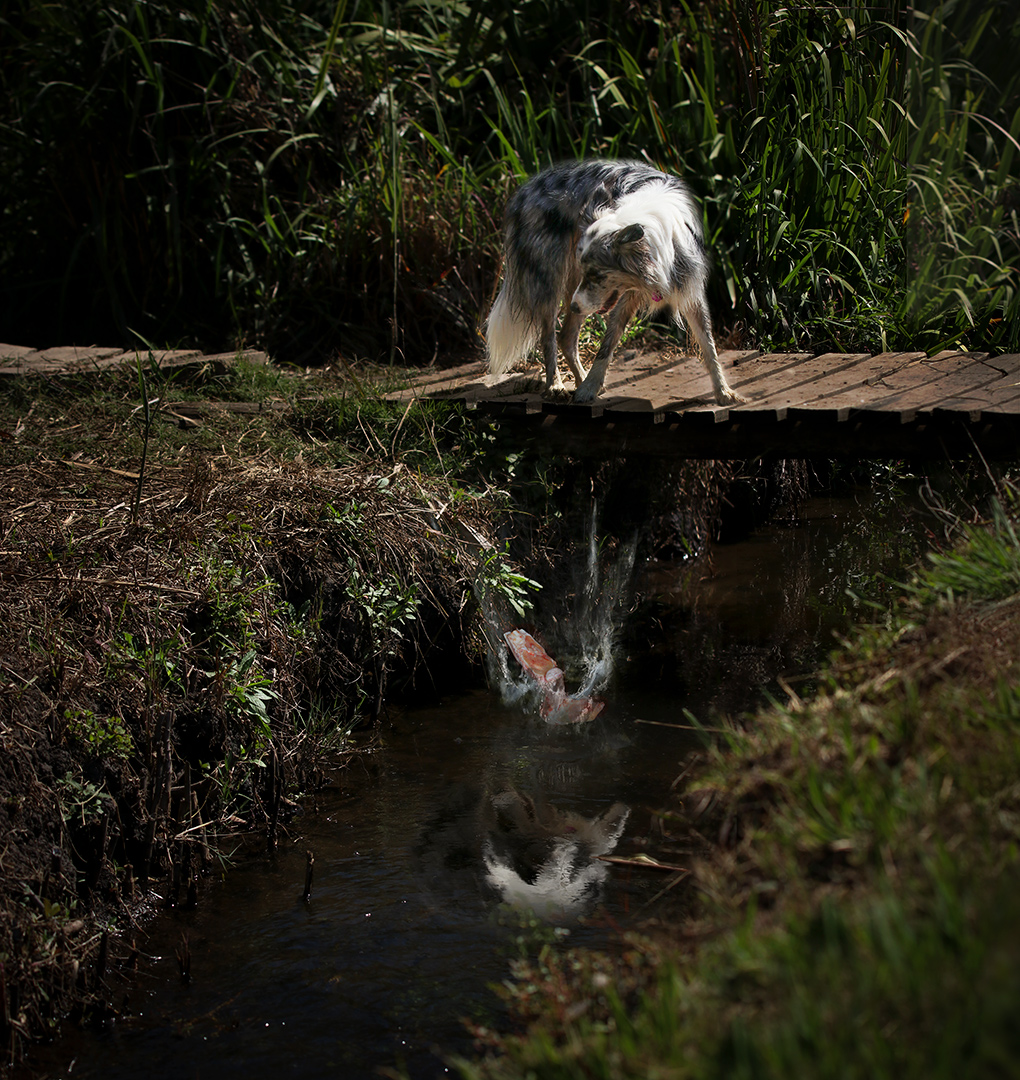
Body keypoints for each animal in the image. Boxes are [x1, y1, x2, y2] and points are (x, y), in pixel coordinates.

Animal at [486, 160, 739, 408]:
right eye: (589, 272)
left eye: (597, 274)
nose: (574, 307)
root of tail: (523, 190)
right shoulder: (621, 296)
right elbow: (606, 346)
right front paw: (588, 387)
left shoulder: (689, 290)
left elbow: (709, 345)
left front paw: (723, 391)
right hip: (551, 280)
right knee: (549, 337)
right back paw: (555, 386)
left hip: (574, 291)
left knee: (566, 336)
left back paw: (580, 377)